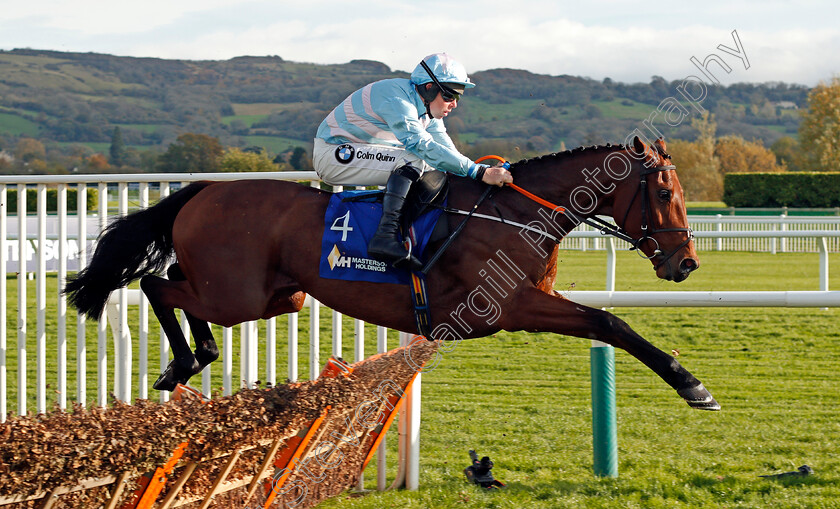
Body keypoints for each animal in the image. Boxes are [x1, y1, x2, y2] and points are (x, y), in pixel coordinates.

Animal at [64, 137, 720, 410]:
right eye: (665, 192)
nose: (685, 262)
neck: (516, 212)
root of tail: (201, 189)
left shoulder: (533, 300)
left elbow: (608, 323)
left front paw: (691, 383)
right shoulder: (510, 307)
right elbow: (612, 323)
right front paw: (694, 386)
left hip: (279, 295)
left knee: (175, 288)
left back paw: (192, 358)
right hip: (238, 295)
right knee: (156, 284)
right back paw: (185, 360)